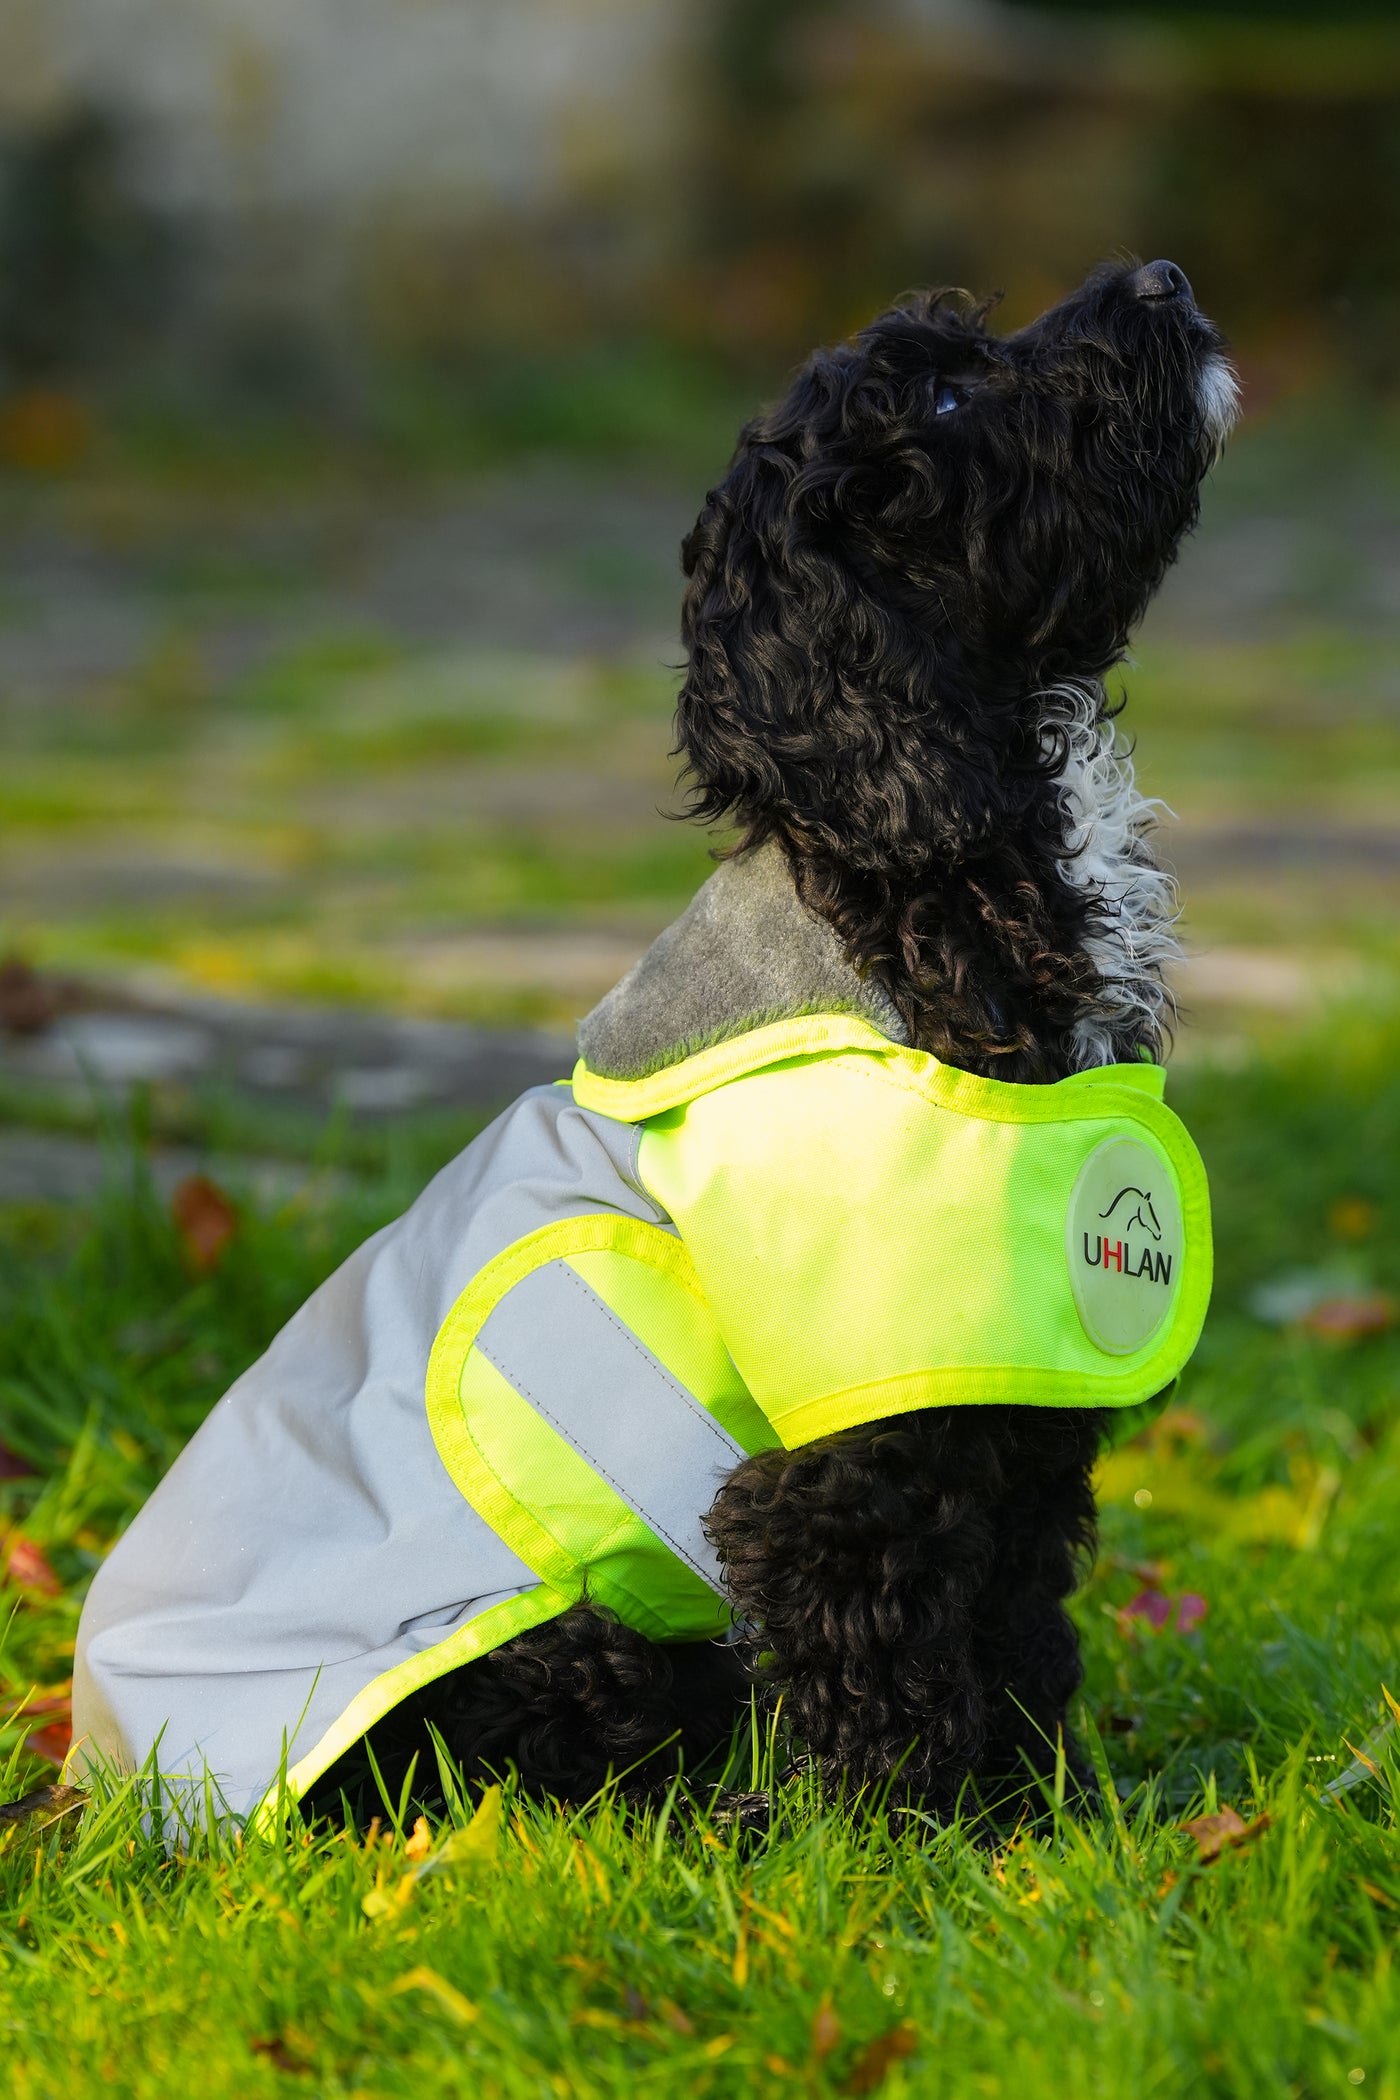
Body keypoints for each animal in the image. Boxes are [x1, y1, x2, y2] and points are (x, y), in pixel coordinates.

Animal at [314, 258, 1234, 1822]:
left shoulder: (1018, 1399)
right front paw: (911, 1853)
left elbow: (1018, 1630)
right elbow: (888, 1667)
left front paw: (1040, 1824)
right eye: (943, 395)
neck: (923, 898)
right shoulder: (846, 1455)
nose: (1165, 277)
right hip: (590, 1644)